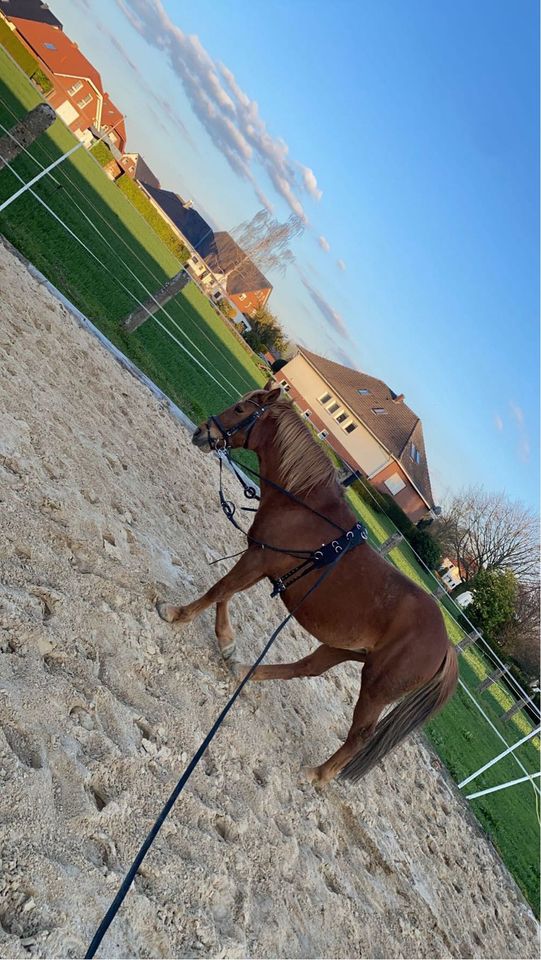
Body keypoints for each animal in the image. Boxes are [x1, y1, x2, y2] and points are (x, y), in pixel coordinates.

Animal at [157, 382, 456, 788]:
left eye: (240, 410)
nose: (203, 432)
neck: (303, 506)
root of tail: (446, 646)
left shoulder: (258, 560)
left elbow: (219, 590)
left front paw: (177, 614)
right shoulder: (257, 559)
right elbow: (226, 595)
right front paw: (227, 641)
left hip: (376, 685)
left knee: (360, 734)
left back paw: (319, 773)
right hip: (345, 650)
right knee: (307, 667)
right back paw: (247, 672)